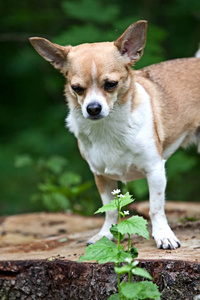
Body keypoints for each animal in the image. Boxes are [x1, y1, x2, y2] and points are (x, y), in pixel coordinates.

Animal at [29, 21, 200, 250]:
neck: (108, 128)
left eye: (111, 84)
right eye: (77, 88)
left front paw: (163, 235)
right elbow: (109, 209)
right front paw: (105, 235)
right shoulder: (101, 176)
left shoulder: (155, 170)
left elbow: (156, 208)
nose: (93, 108)